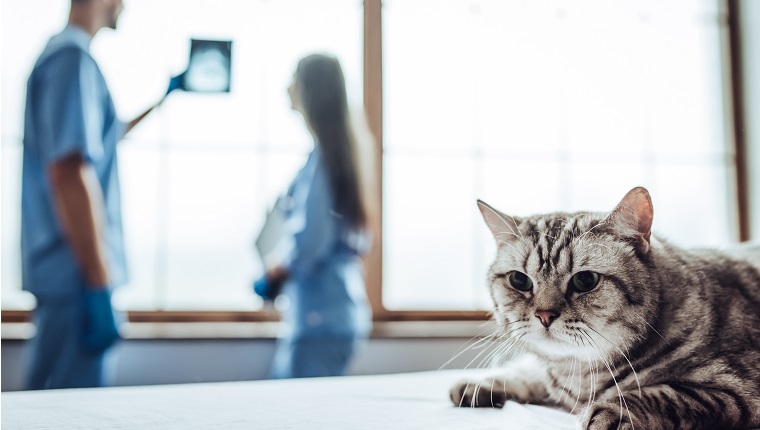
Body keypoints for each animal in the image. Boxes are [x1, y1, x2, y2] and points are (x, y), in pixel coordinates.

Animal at [452, 187, 760, 430]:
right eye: (519, 280)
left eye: (585, 280)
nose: (544, 315)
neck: (579, 373)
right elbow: (531, 374)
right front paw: (482, 384)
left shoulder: (736, 388)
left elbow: (662, 394)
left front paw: (609, 410)